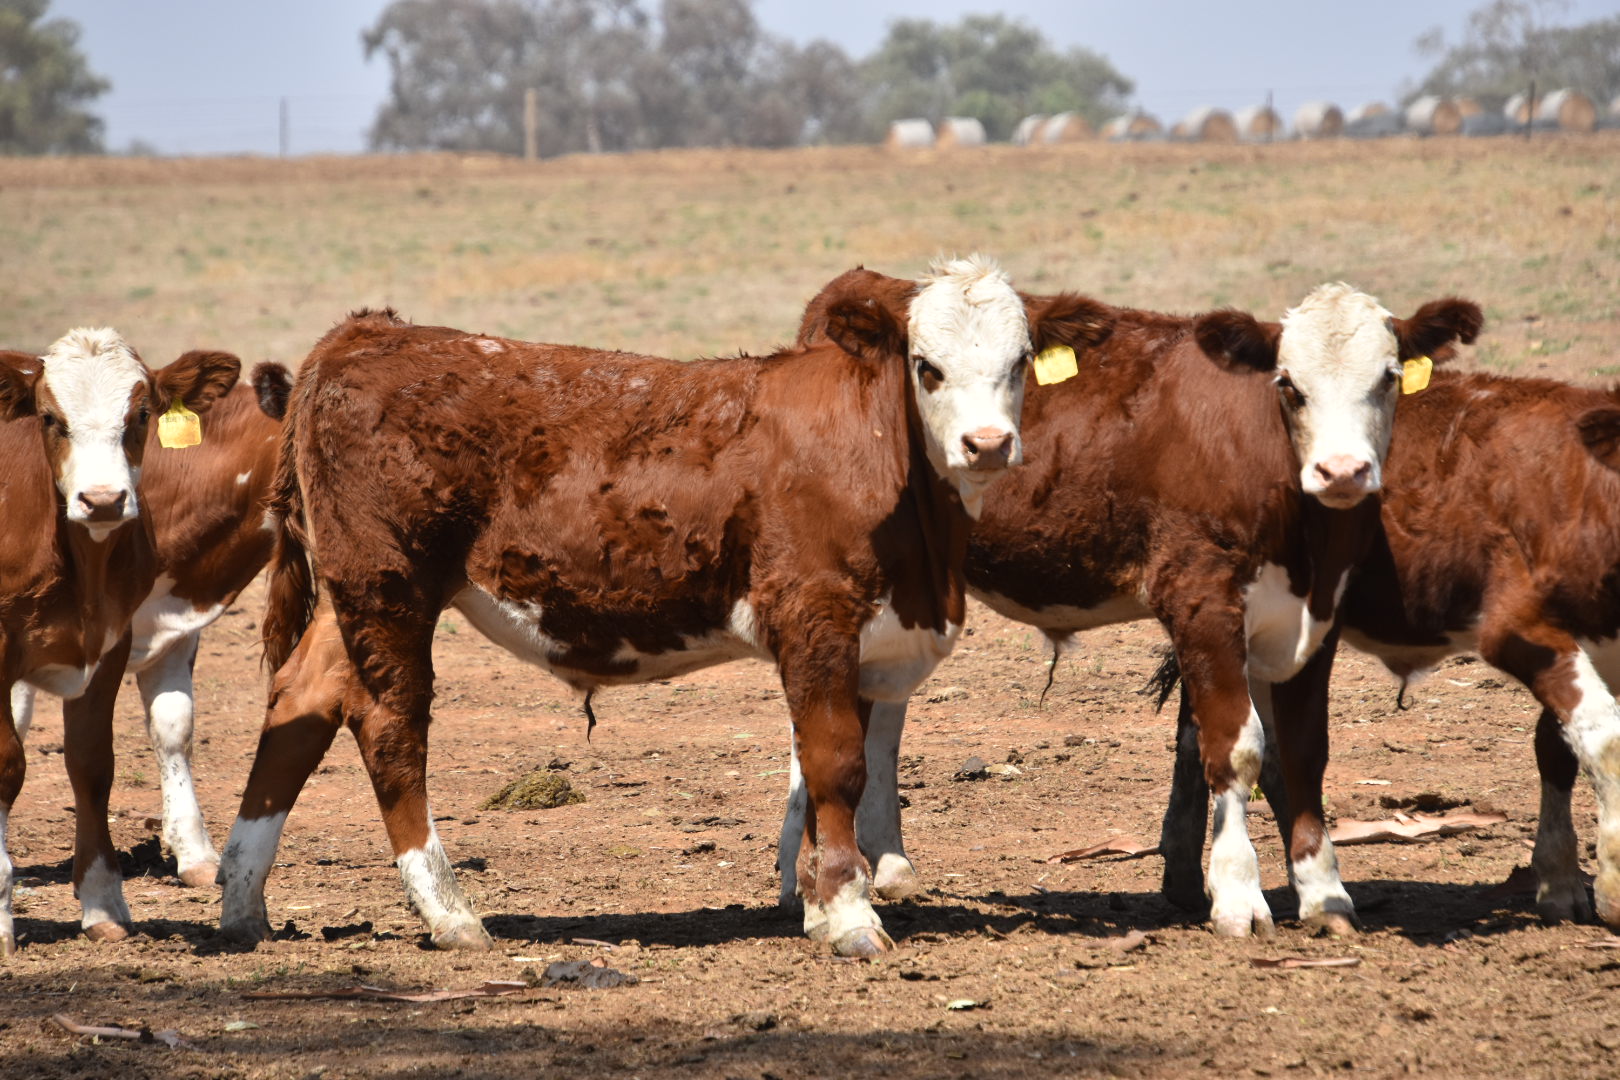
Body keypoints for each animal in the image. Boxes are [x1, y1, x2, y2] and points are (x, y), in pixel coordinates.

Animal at [0, 333, 239, 955]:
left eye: (142, 414)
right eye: (50, 417)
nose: (103, 500)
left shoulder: (110, 641)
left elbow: (92, 765)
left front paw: (103, 903)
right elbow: (7, 764)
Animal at [215, 256, 1106, 956]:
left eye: (1022, 361)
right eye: (926, 365)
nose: (987, 445)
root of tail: (367, 334)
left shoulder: (866, 639)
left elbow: (822, 778)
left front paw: (820, 904)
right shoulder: (814, 616)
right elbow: (835, 765)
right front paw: (851, 917)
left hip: (351, 598)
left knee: (300, 702)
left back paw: (242, 901)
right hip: (390, 586)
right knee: (389, 724)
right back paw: (450, 913)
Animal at [778, 280, 1483, 937]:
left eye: (1388, 378)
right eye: (1289, 384)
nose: (1342, 471)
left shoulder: (1313, 621)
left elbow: (1303, 752)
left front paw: (1324, 894)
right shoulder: (1202, 602)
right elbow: (1237, 749)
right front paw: (1239, 898)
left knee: (883, 718)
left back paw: (887, 863)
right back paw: (800, 878)